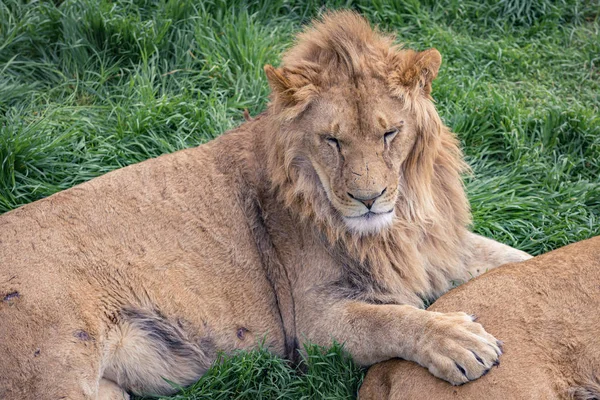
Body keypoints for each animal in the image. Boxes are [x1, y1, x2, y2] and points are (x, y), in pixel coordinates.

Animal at [2, 10, 532, 398]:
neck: (398, 221)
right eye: (332, 140)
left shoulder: (436, 247)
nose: (367, 199)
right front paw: (458, 341)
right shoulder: (311, 328)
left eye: (389, 133)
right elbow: (388, 320)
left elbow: (517, 261)